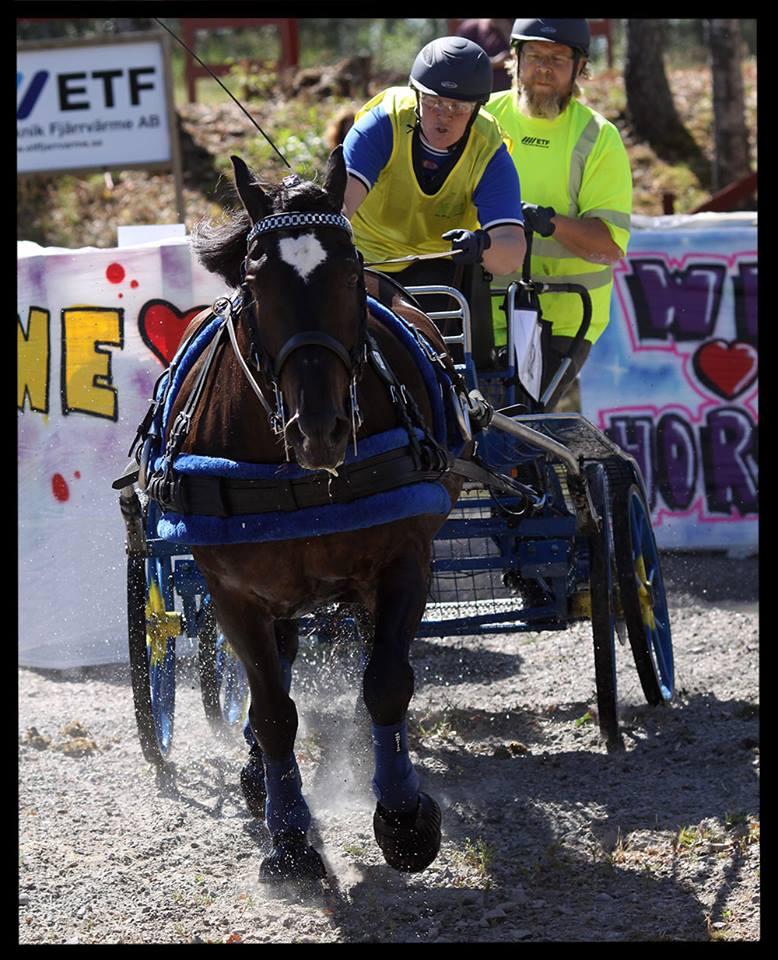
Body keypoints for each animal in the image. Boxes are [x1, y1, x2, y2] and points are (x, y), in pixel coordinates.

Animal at [153, 146, 466, 880]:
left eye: (349, 270)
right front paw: (291, 837)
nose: (319, 427)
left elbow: (386, 683)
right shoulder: (233, 592)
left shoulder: (403, 561)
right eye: (255, 281)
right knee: (280, 667)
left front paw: (403, 819)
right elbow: (273, 710)